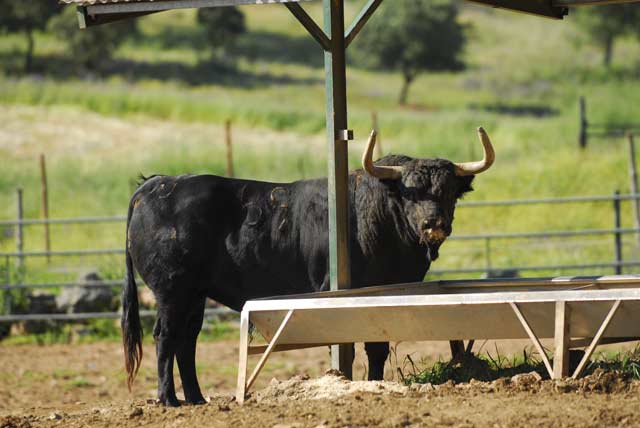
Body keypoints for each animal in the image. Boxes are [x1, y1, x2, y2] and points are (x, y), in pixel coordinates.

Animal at [122, 127, 498, 404]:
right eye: (411, 192)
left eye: (448, 191)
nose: (434, 224)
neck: (376, 217)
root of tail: (157, 184)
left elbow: (377, 349)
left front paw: (374, 383)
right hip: (172, 291)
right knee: (166, 337)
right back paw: (168, 398)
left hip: (195, 294)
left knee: (187, 340)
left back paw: (197, 398)